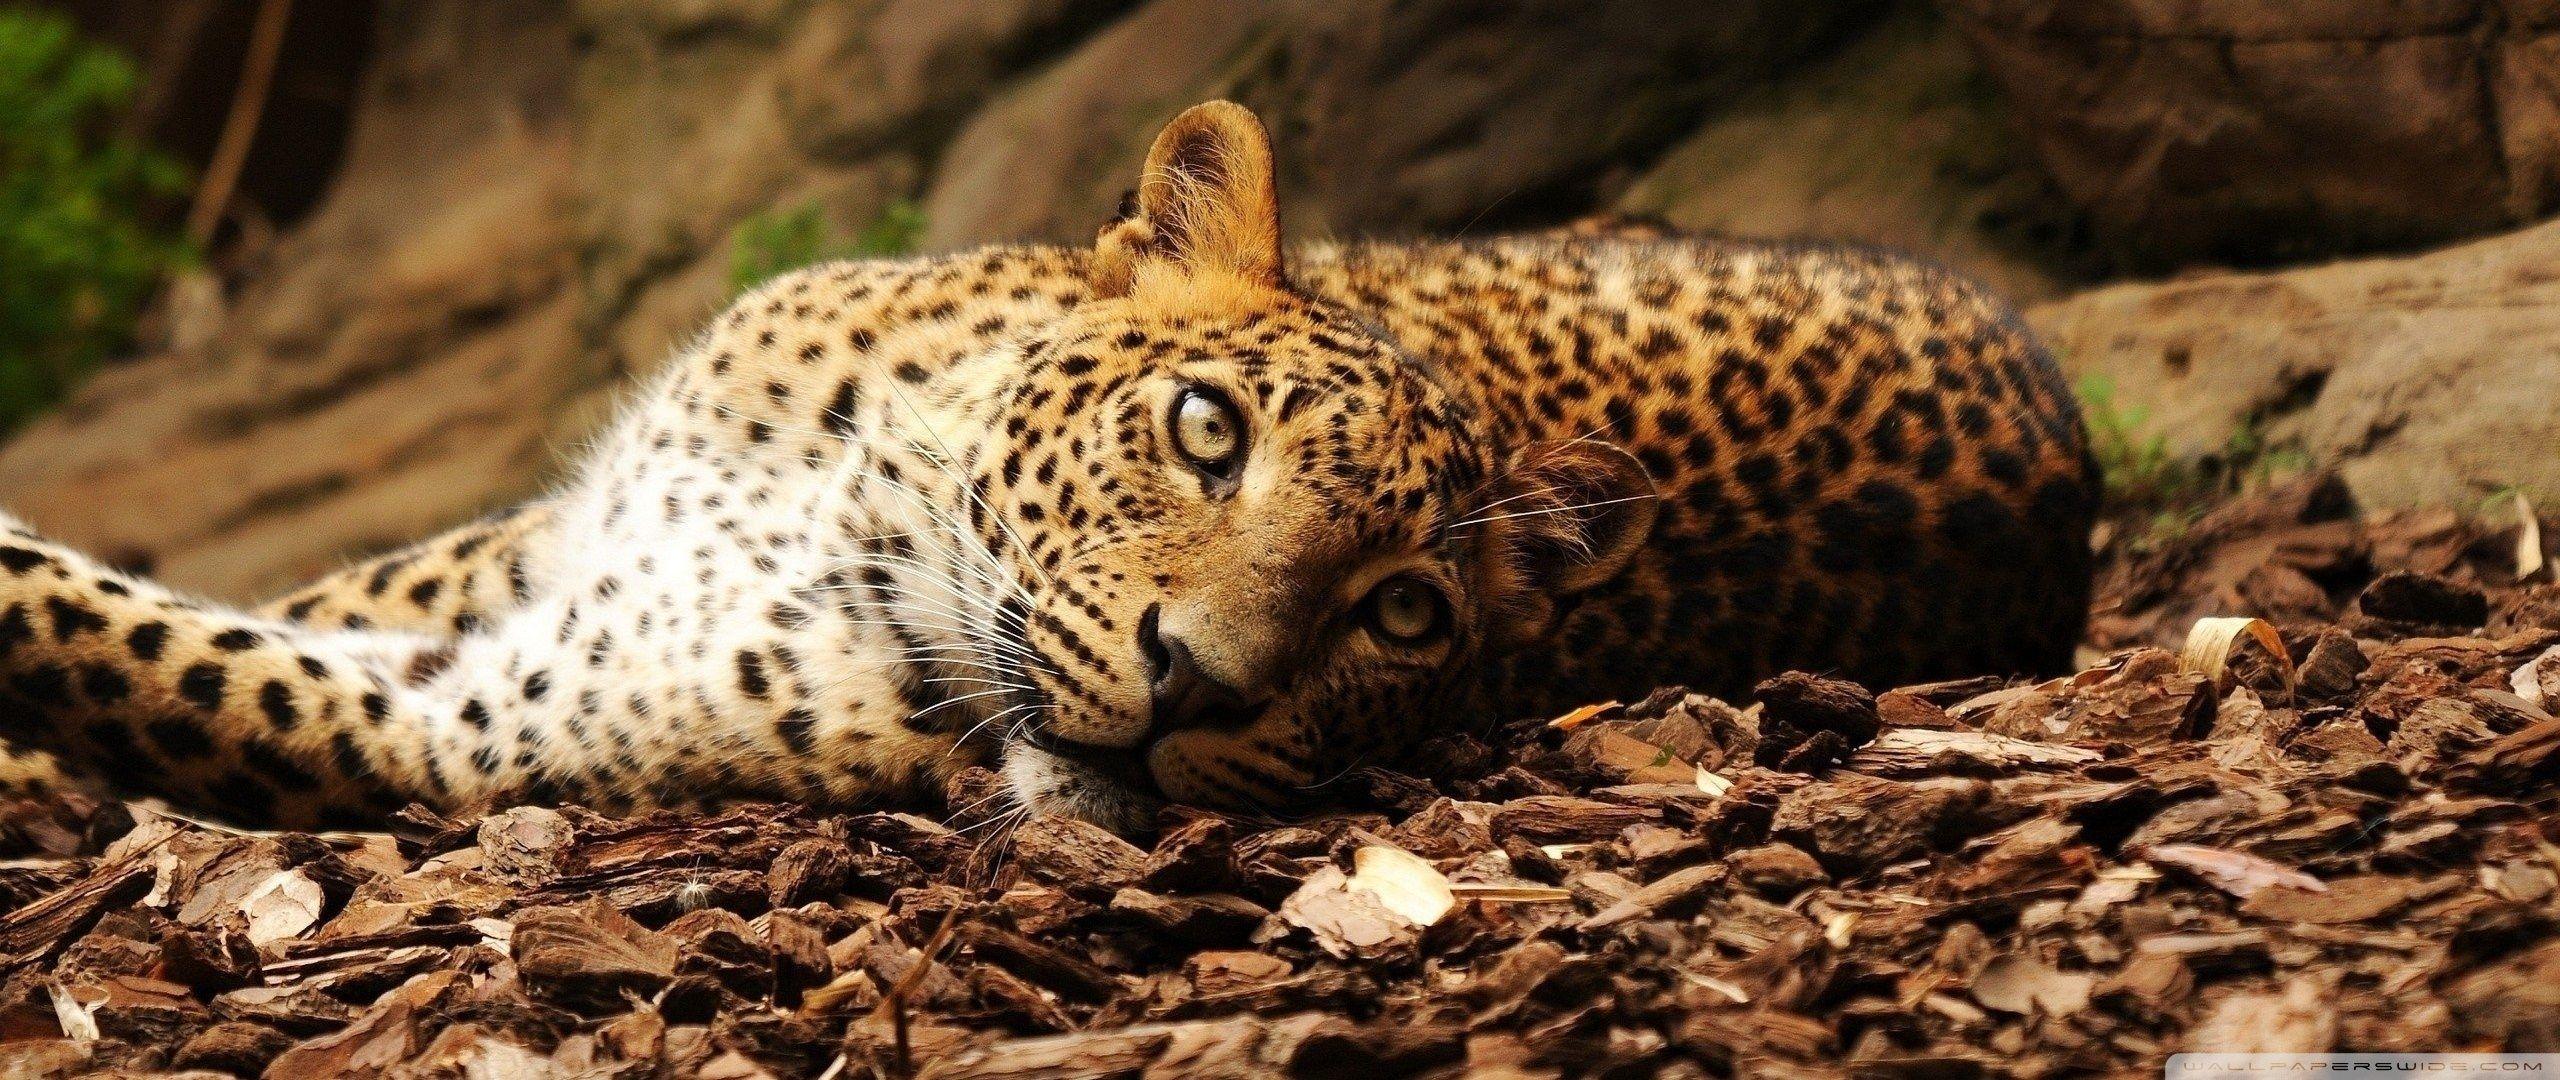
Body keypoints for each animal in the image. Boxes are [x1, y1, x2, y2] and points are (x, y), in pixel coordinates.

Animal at [0, 102, 2096, 834]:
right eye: (1206, 432)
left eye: (1404, 616)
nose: (1202, 692)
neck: (852, 505)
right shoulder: (543, 547)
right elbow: (295, 588)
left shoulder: (467, 727)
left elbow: (114, 639)